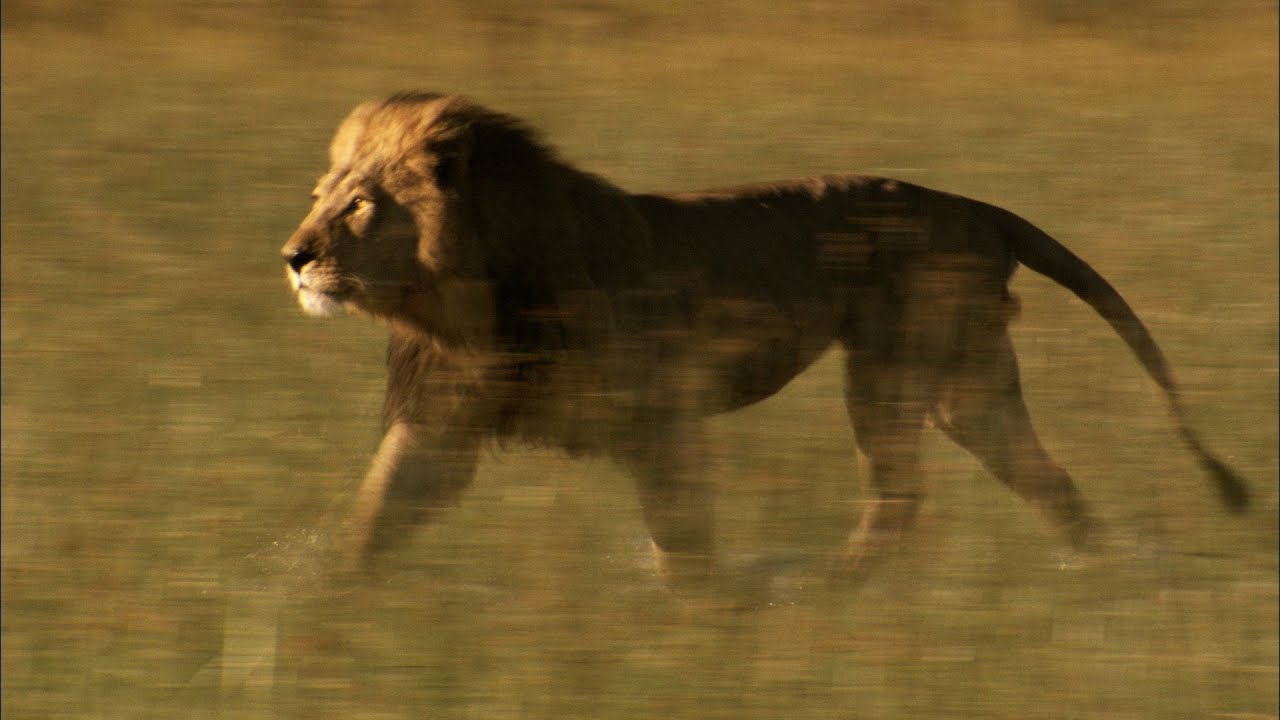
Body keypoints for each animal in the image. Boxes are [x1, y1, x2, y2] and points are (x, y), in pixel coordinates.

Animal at [281, 92, 1248, 600]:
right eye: (322, 193)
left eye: (361, 204)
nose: (292, 258)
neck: (468, 294)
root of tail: (977, 206)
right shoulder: (443, 419)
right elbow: (378, 512)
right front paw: (319, 601)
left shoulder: (659, 418)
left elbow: (682, 536)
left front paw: (700, 618)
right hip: (964, 385)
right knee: (1044, 477)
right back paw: (1092, 569)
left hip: (892, 369)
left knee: (902, 496)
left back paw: (817, 588)